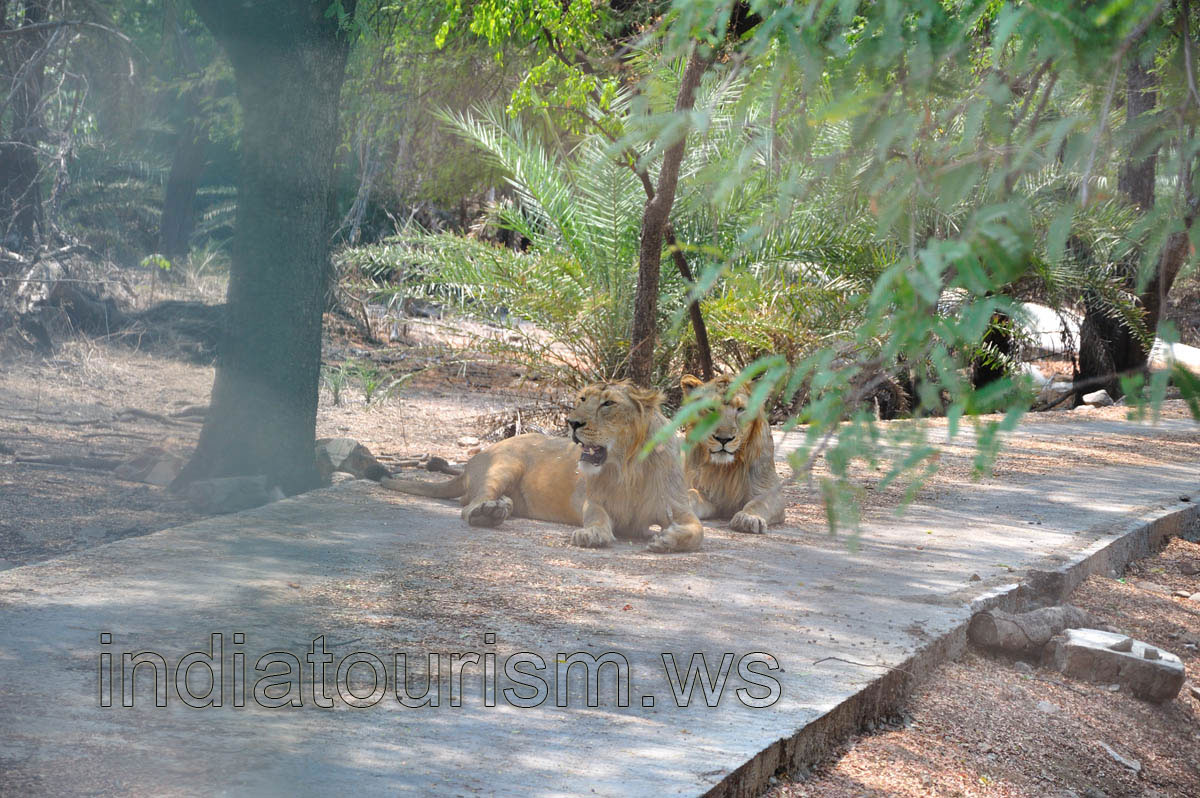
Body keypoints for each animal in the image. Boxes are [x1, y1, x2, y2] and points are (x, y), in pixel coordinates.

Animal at [380, 381, 703, 553]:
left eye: (608, 404)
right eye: (582, 398)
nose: (572, 423)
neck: (628, 468)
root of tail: (474, 459)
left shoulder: (678, 506)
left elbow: (698, 531)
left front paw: (667, 539)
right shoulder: (593, 500)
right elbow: (597, 517)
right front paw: (592, 535)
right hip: (505, 463)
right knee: (469, 505)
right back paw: (489, 513)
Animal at [679, 374, 786, 534]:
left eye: (740, 409)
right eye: (711, 408)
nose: (724, 439)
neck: (725, 468)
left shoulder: (769, 492)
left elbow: (758, 504)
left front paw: (748, 518)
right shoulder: (710, 497)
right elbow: (692, 493)